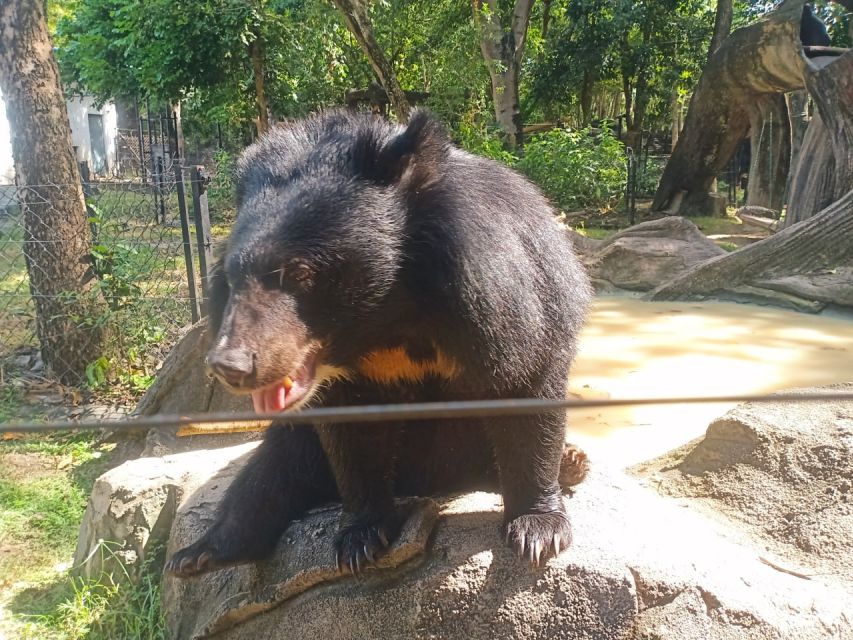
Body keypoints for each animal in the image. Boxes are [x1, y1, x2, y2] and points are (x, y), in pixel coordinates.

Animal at [166, 107, 592, 576]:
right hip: (299, 442)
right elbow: (354, 438)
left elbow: (526, 384)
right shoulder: (350, 381)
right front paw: (360, 538)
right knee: (269, 475)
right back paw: (199, 553)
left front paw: (538, 532)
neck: (386, 318)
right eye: (231, 277)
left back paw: (572, 462)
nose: (231, 366)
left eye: (299, 273)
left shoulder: (509, 296)